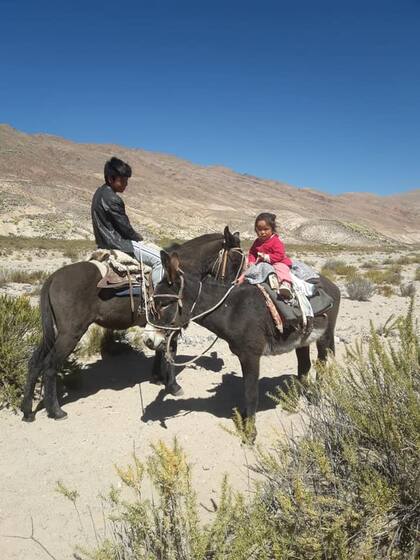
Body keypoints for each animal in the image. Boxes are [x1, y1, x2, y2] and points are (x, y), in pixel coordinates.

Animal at [21, 226, 243, 420]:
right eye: (234, 260)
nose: (237, 287)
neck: (182, 271)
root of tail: (52, 277)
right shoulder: (172, 325)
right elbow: (170, 352)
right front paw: (173, 386)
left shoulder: (159, 325)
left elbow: (159, 349)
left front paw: (157, 376)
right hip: (70, 334)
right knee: (50, 366)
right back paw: (56, 411)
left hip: (54, 333)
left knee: (34, 362)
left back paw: (27, 411)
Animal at [143, 252, 340, 440]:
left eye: (164, 304)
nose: (148, 341)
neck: (231, 310)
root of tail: (331, 285)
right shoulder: (243, 357)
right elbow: (247, 388)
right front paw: (245, 417)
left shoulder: (251, 356)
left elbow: (251, 392)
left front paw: (250, 432)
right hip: (303, 339)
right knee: (304, 365)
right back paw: (295, 396)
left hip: (325, 335)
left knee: (321, 364)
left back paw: (315, 397)